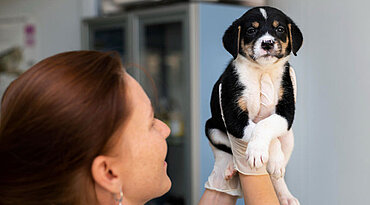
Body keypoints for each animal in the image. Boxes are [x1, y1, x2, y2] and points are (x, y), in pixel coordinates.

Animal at [205, 6, 304, 205]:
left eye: (280, 29)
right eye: (251, 30)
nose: (267, 43)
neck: (261, 71)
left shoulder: (286, 112)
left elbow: (266, 125)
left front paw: (273, 160)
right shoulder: (233, 115)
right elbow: (259, 128)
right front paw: (261, 153)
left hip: (289, 138)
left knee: (277, 176)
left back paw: (286, 195)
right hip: (211, 128)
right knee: (224, 151)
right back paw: (229, 167)